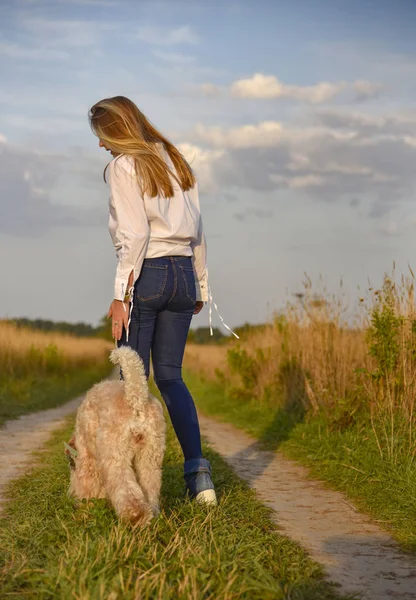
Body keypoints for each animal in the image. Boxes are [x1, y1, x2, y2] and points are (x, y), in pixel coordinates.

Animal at [66, 346, 165, 524]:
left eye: (72, 467)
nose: (71, 495)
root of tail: (136, 400)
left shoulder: (88, 459)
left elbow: (89, 484)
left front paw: (85, 510)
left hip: (117, 456)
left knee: (125, 489)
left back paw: (136, 516)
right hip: (150, 455)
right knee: (150, 486)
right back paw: (151, 515)